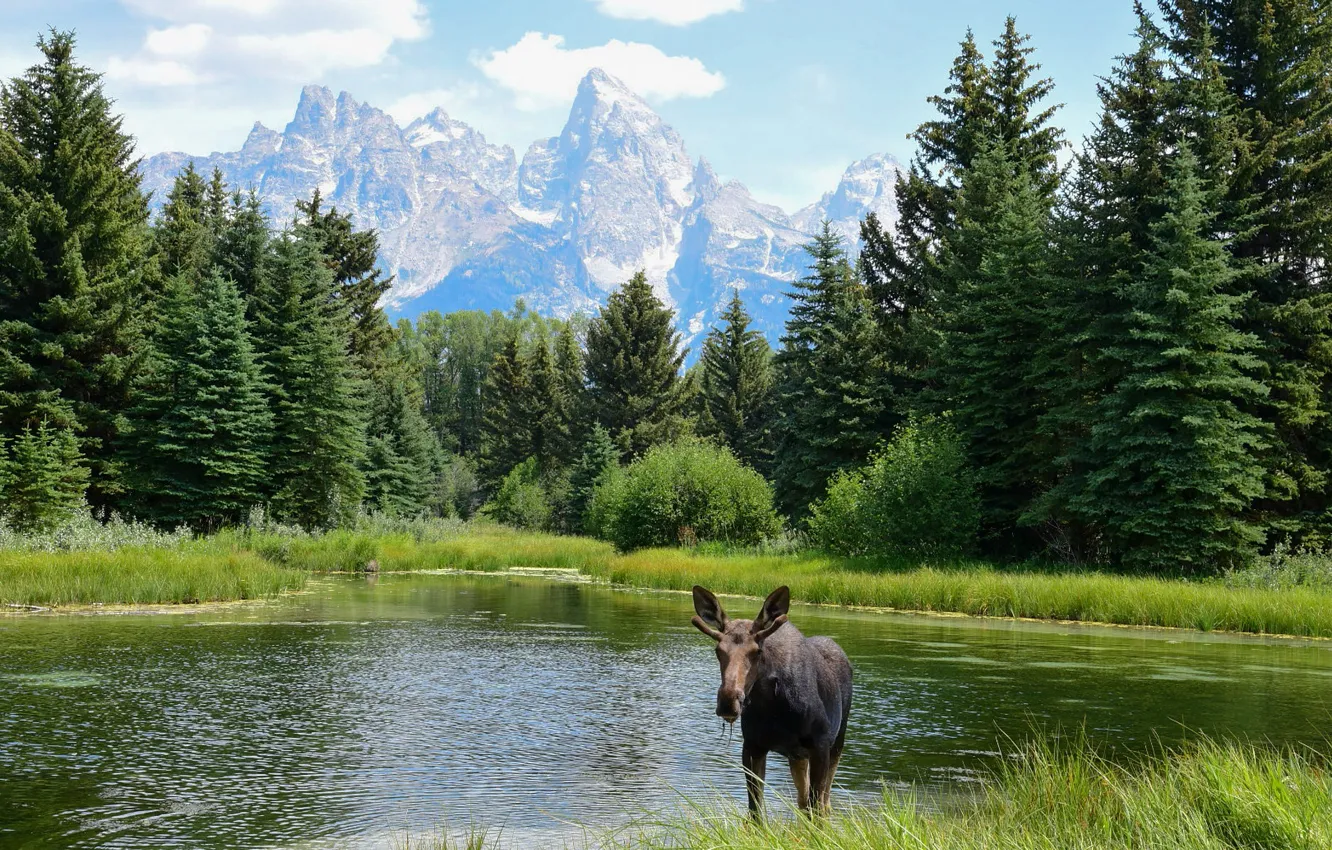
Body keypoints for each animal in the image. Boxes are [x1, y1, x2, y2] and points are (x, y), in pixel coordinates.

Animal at [691, 585, 853, 819]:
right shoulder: (753, 745)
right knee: (802, 800)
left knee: (823, 803)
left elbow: (816, 810)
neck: (774, 706)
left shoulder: (820, 745)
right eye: (718, 650)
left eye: (757, 651)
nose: (728, 701)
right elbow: (756, 812)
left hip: (837, 741)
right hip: (797, 756)